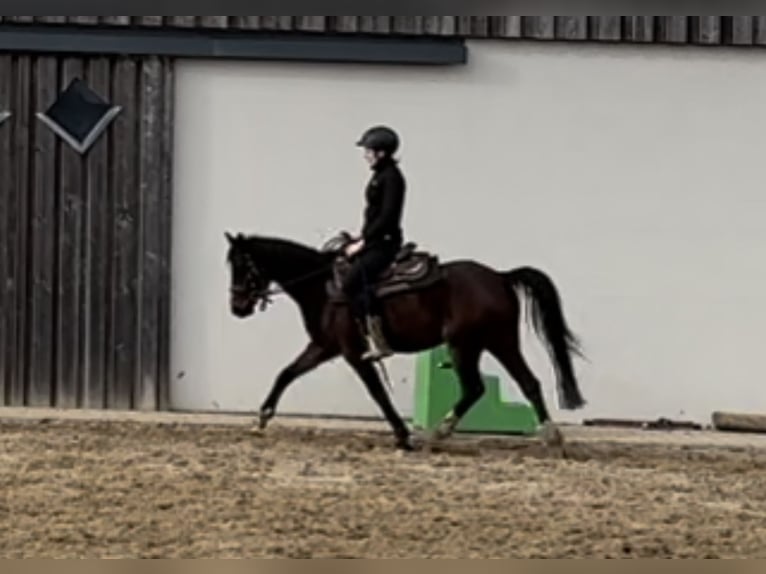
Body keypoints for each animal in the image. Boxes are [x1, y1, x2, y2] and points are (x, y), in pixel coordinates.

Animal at [224, 232, 588, 452]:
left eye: (241, 265)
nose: (237, 308)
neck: (324, 287)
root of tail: (500, 276)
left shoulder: (354, 353)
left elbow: (378, 393)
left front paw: (402, 434)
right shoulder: (324, 347)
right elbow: (286, 373)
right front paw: (261, 418)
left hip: (466, 345)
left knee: (475, 387)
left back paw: (438, 433)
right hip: (497, 342)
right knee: (527, 382)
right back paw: (550, 435)